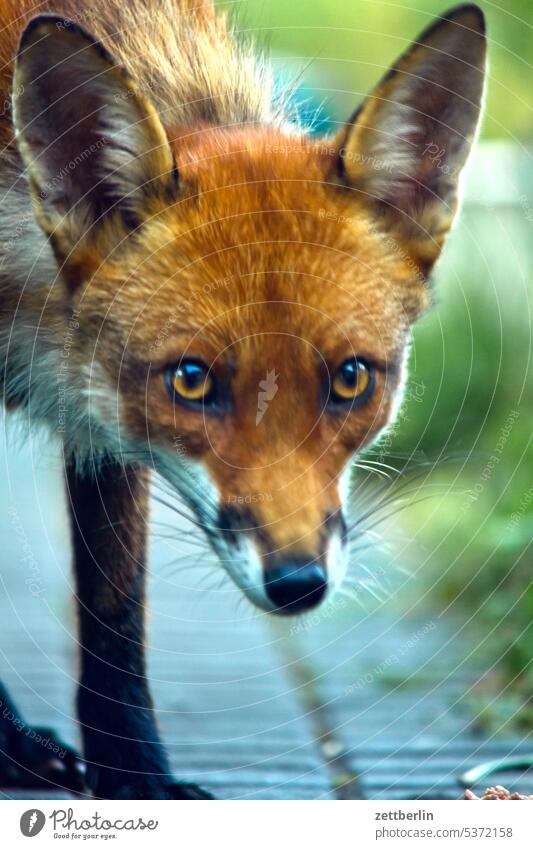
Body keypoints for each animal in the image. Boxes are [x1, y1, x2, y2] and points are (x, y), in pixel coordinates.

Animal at [0, 0, 484, 796]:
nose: (298, 583)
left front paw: (137, 779)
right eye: (192, 380)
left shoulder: (101, 419)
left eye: (351, 378)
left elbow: (115, 616)